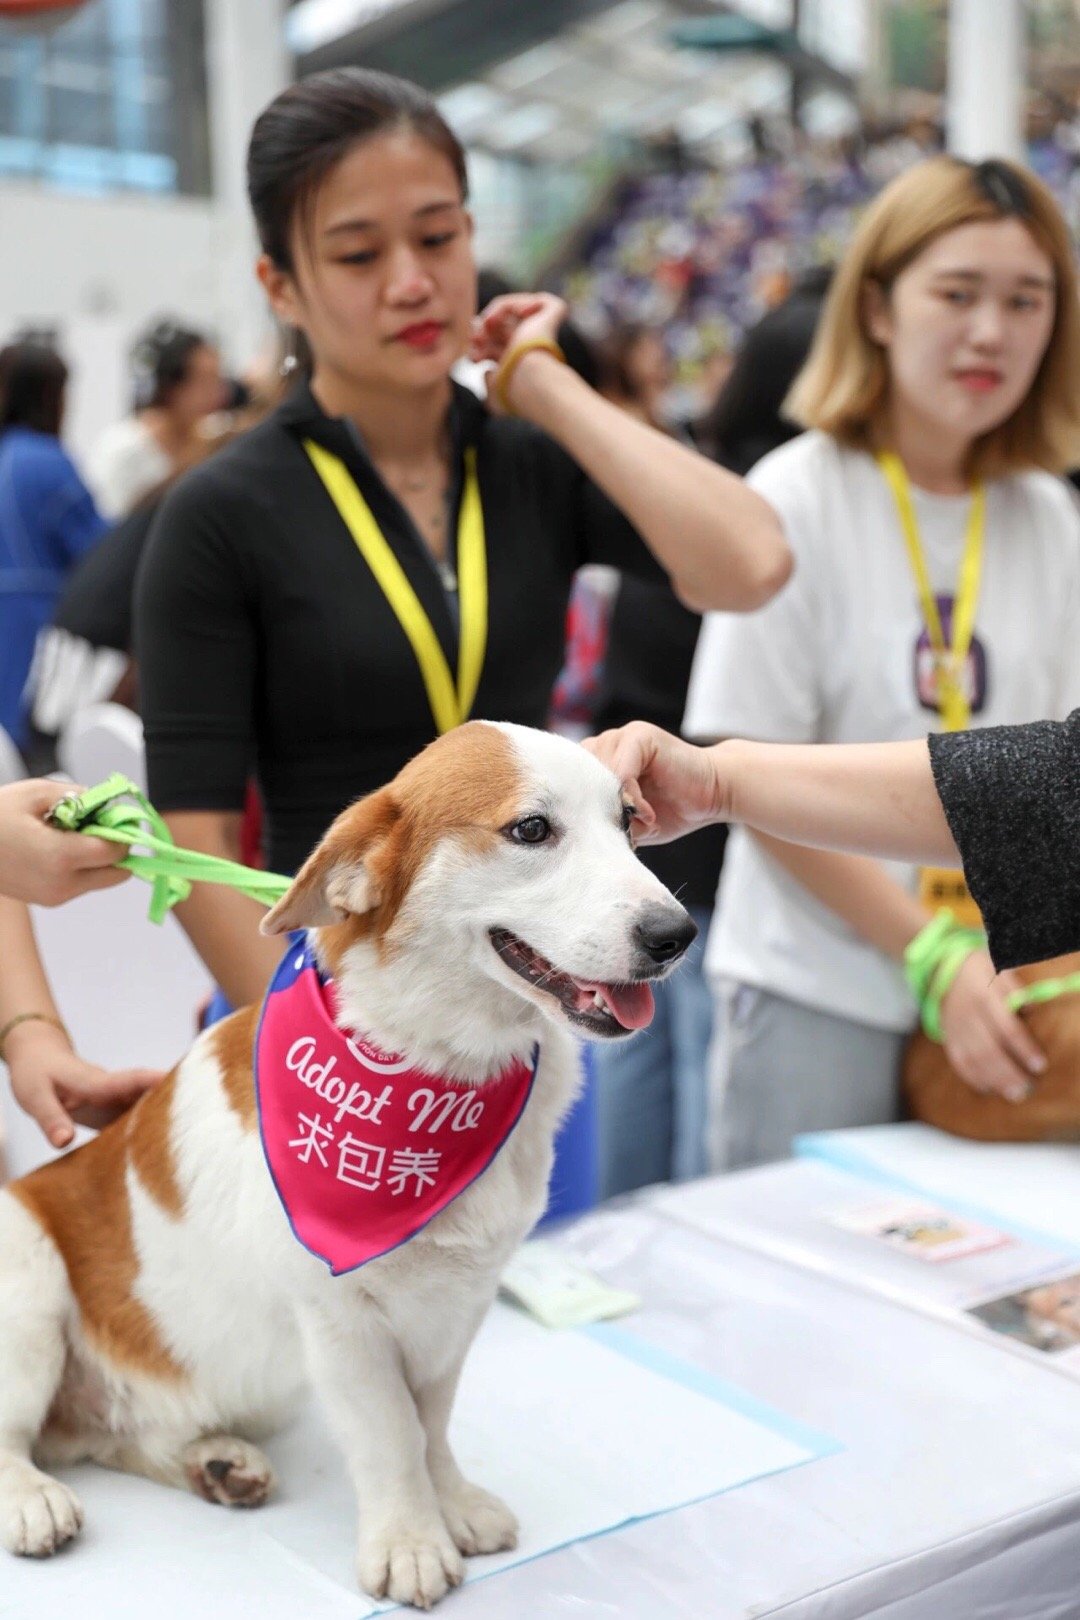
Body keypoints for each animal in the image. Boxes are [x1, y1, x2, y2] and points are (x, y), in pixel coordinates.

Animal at [0, 732, 693, 1607]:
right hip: (29, 1278)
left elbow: (432, 1423)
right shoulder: (341, 1321)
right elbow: (393, 1434)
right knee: (17, 1441)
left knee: (109, 1436)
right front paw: (411, 1542)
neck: (439, 1066)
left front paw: (451, 1503)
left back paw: (214, 1462)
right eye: (532, 830)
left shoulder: (456, 1306)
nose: (678, 934)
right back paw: (33, 1498)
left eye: (629, 822)